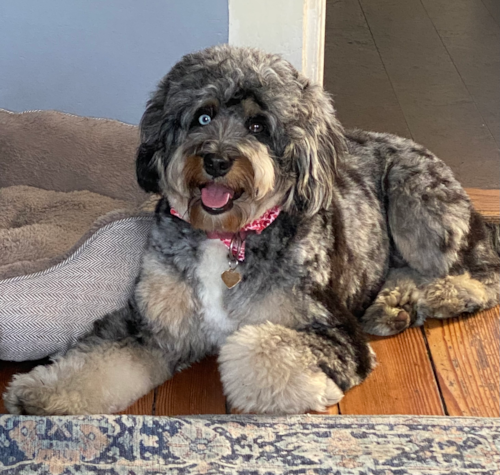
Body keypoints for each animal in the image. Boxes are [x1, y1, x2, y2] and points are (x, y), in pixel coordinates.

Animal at [4, 45, 500, 416]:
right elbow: (95, 358)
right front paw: (40, 394)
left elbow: (250, 349)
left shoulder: (333, 333)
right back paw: (394, 301)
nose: (216, 159)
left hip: (417, 203)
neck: (227, 236)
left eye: (259, 125)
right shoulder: (151, 324)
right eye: (202, 117)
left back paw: (438, 296)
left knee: (480, 268)